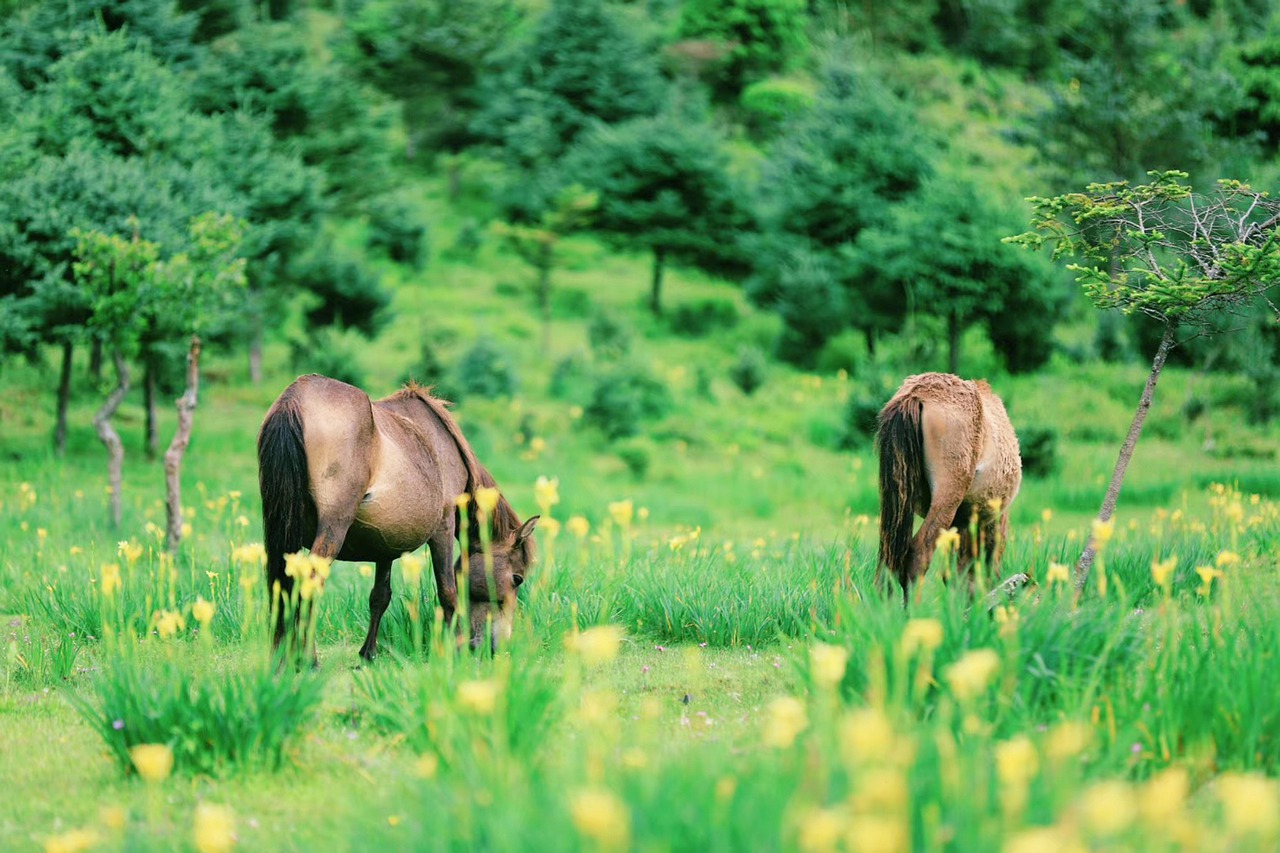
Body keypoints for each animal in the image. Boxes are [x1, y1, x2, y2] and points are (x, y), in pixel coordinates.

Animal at [257, 368, 537, 653]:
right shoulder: (444, 527)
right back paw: (306, 659)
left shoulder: (385, 543)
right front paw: (454, 650)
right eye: (517, 579)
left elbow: (380, 597)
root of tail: (295, 398)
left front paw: (368, 653)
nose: (495, 646)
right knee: (309, 587)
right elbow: (448, 592)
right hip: (332, 529)